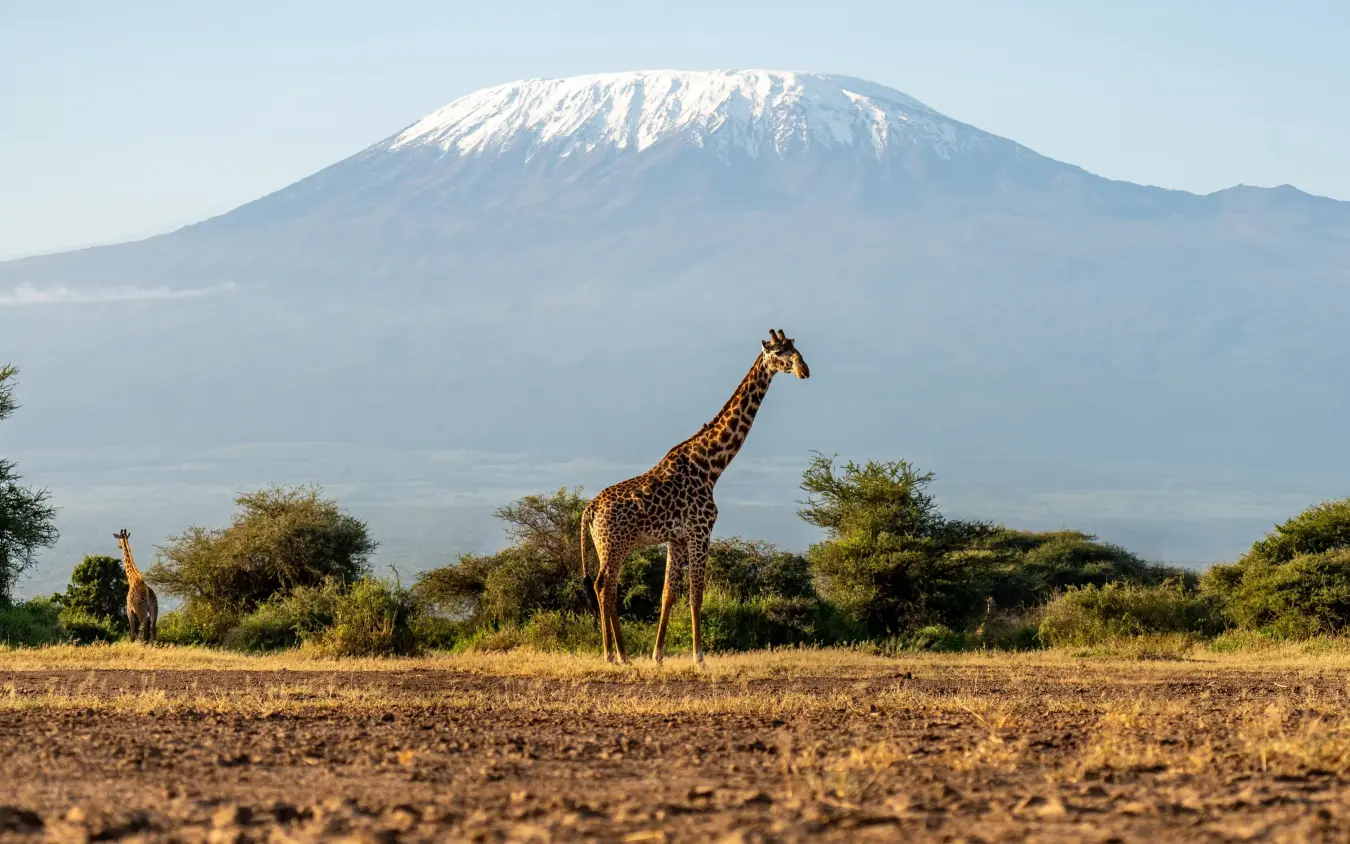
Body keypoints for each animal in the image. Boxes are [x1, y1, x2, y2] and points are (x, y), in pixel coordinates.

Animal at [579, 329, 810, 664]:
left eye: (795, 348)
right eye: (779, 352)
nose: (804, 370)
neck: (711, 465)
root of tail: (589, 510)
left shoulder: (677, 538)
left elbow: (668, 594)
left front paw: (658, 655)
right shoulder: (701, 530)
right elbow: (696, 593)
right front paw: (699, 657)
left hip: (603, 545)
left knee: (603, 587)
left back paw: (617, 654)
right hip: (616, 544)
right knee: (605, 587)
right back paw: (616, 655)